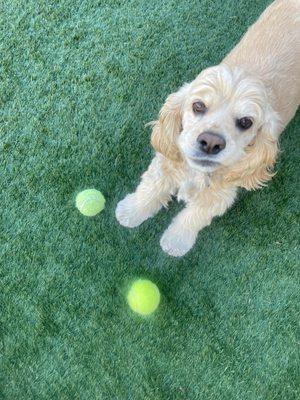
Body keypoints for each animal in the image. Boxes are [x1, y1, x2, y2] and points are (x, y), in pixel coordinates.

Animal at [115, 0, 300, 256]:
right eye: (198, 106)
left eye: (246, 122)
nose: (211, 143)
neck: (196, 173)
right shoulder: (168, 160)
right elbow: (151, 186)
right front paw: (131, 211)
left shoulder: (222, 192)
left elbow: (195, 216)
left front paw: (176, 241)